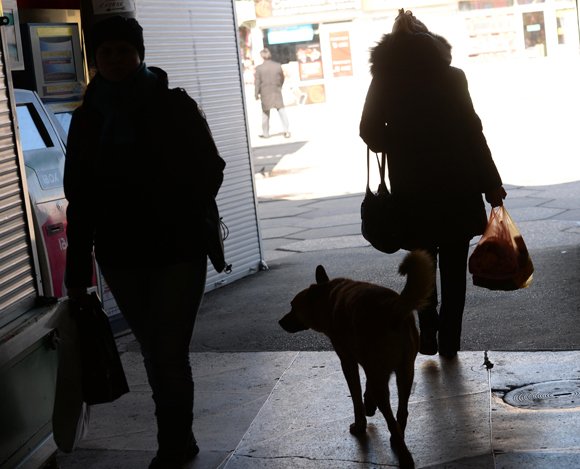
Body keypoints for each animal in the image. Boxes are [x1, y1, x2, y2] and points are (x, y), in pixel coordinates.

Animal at [278, 250, 432, 466]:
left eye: (293, 306)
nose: (280, 322)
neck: (327, 296)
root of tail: (394, 308)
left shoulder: (348, 362)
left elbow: (356, 397)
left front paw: (360, 424)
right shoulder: (371, 365)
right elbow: (366, 387)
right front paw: (369, 404)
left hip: (384, 380)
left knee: (390, 417)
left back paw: (403, 454)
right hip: (405, 372)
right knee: (402, 411)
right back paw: (397, 438)